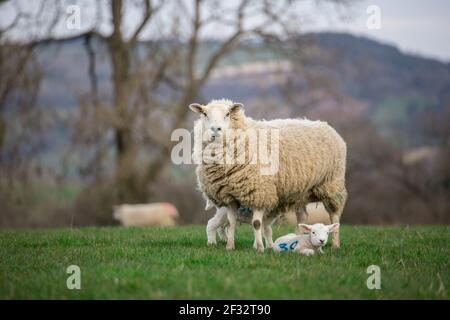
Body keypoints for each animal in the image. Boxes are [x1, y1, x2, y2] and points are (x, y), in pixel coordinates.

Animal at [190, 99, 348, 251]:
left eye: (228, 114)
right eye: (204, 113)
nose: (216, 129)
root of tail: (325, 125)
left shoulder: (260, 192)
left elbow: (257, 223)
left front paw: (260, 248)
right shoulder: (229, 196)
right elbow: (231, 222)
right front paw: (230, 246)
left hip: (331, 185)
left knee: (334, 216)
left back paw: (335, 245)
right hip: (301, 192)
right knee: (302, 217)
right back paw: (297, 240)